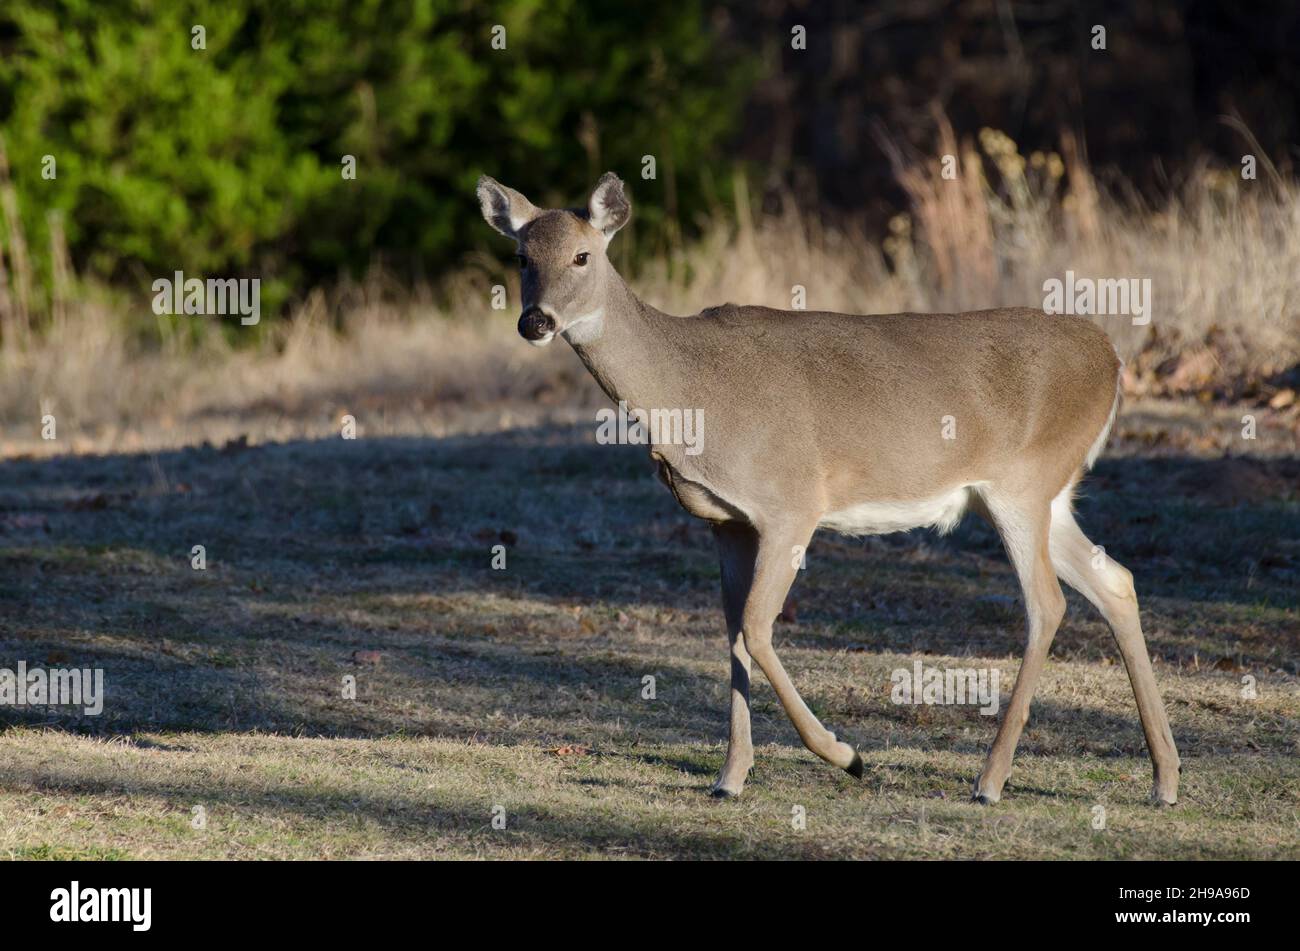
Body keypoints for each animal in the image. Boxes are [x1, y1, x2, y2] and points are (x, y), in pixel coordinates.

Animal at [476, 171, 1181, 806]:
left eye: (583, 255)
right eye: (520, 256)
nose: (534, 321)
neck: (691, 392)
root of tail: (1114, 360)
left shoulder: (792, 503)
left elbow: (757, 629)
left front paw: (846, 755)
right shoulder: (726, 522)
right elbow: (732, 634)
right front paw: (730, 778)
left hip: (1022, 482)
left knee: (1048, 603)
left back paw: (990, 781)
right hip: (1041, 494)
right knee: (1115, 581)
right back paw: (1165, 781)